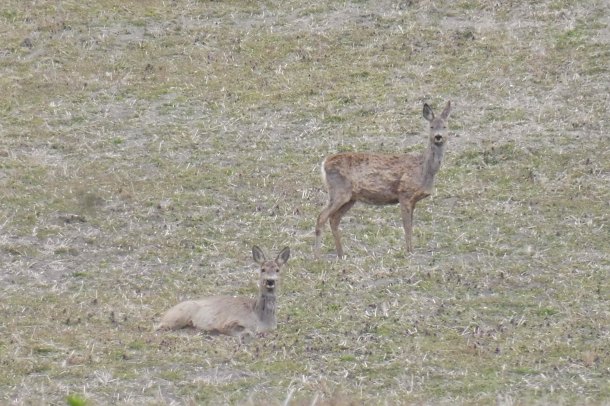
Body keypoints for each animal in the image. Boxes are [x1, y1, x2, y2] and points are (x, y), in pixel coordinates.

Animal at [157, 246, 290, 340]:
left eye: (277, 270)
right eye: (263, 269)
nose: (270, 280)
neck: (261, 319)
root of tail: (164, 314)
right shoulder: (229, 322)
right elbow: (244, 331)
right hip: (180, 315)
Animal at [314, 100, 452, 256]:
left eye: (445, 126)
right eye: (431, 126)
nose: (438, 136)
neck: (424, 169)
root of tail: (324, 163)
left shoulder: (413, 200)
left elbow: (410, 225)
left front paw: (411, 250)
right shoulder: (404, 193)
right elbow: (407, 227)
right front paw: (409, 252)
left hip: (350, 197)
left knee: (334, 219)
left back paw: (341, 255)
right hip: (339, 191)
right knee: (321, 217)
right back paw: (317, 256)